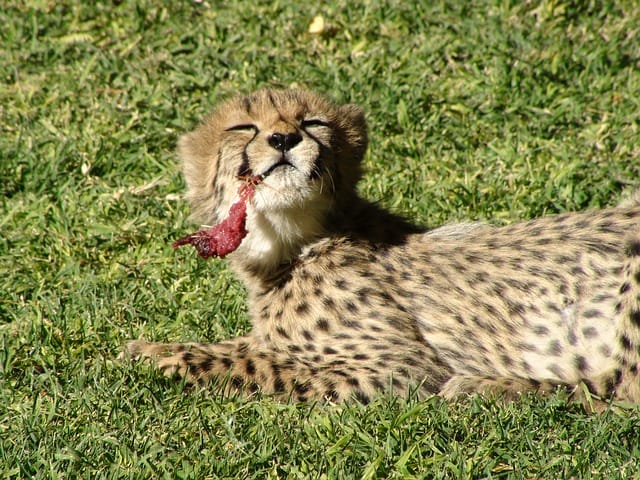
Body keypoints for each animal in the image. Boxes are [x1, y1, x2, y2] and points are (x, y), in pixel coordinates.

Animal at [125, 88, 640, 407]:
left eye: (312, 122)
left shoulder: (400, 370)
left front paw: (158, 358)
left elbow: (260, 363)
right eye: (243, 127)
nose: (284, 138)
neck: (293, 243)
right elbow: (246, 345)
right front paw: (152, 346)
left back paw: (484, 387)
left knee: (619, 398)